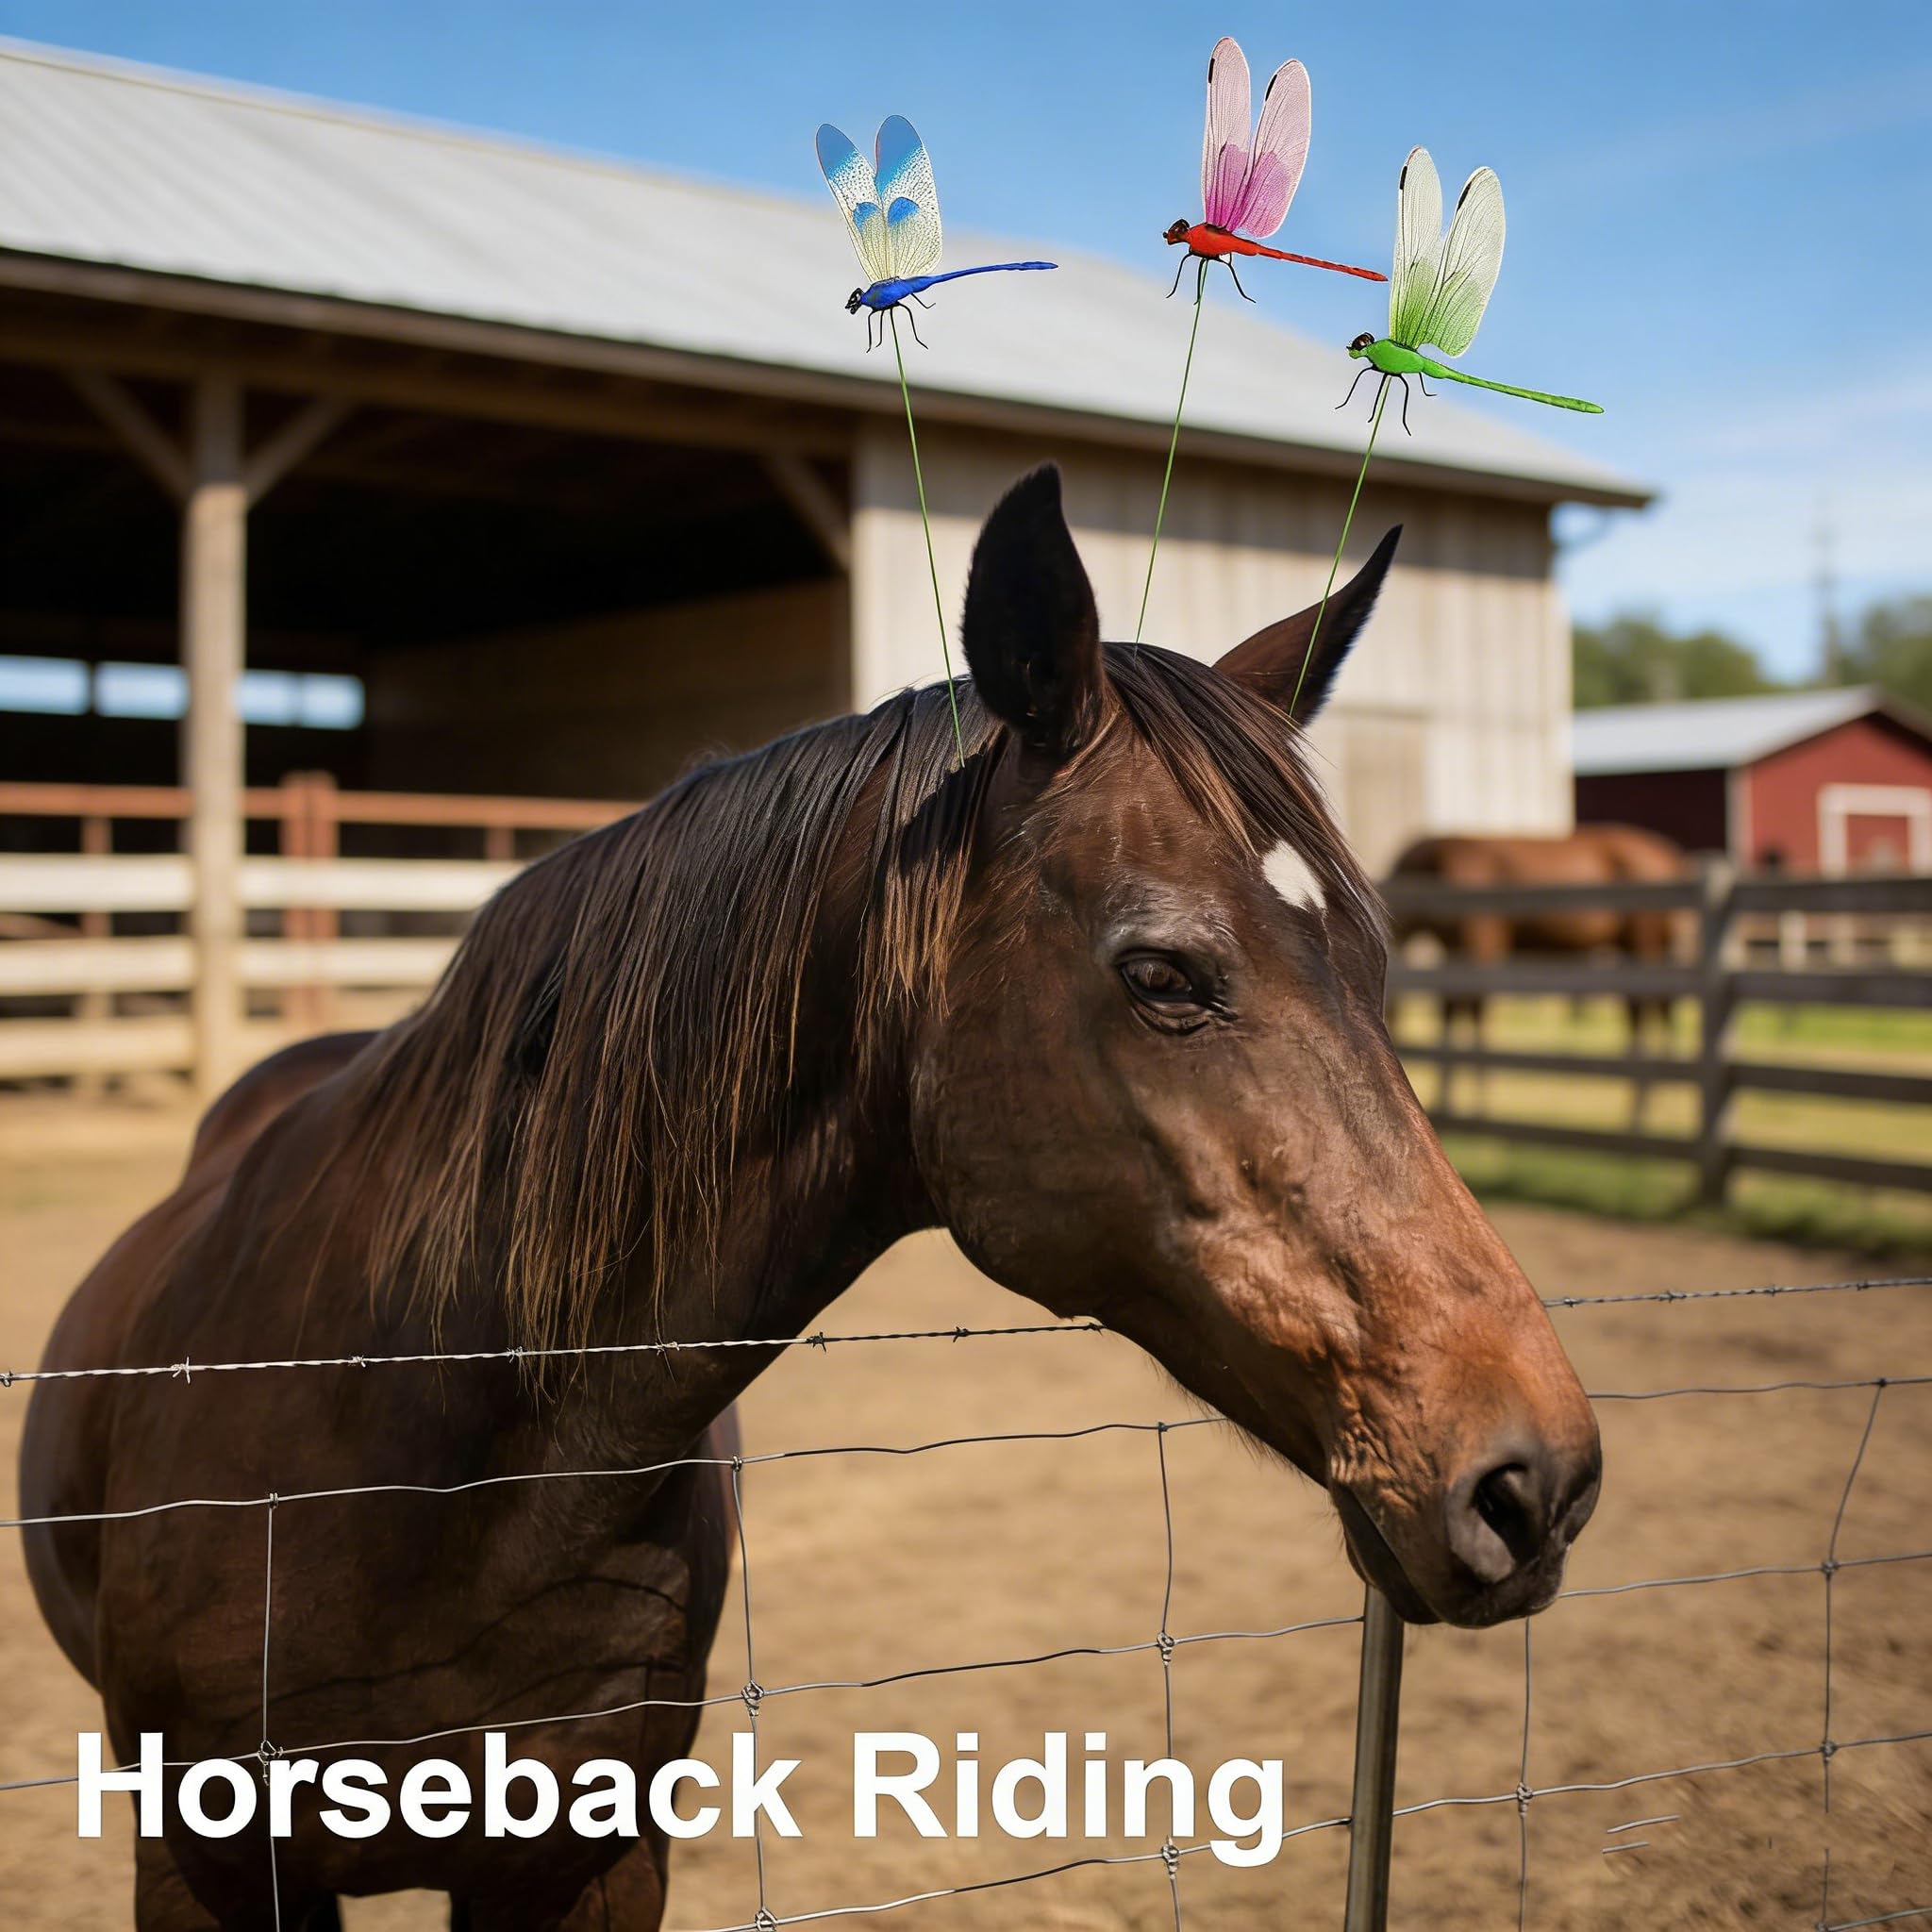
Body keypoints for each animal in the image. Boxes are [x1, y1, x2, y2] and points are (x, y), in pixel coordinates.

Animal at [20, 468, 1600, 1930]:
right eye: (1162, 974)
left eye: (1381, 965)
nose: (1538, 1478)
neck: (416, 1440)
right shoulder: (208, 1869)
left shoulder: (588, 1867)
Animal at [1386, 826, 1690, 1120]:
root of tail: (1669, 858)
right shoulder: (1454, 949)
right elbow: (1450, 1013)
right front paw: (1449, 1100)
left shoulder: (1482, 944)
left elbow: (1477, 1014)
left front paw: (1478, 1102)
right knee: (1653, 1010)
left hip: (1644, 944)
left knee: (1645, 1011)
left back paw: (1644, 1103)